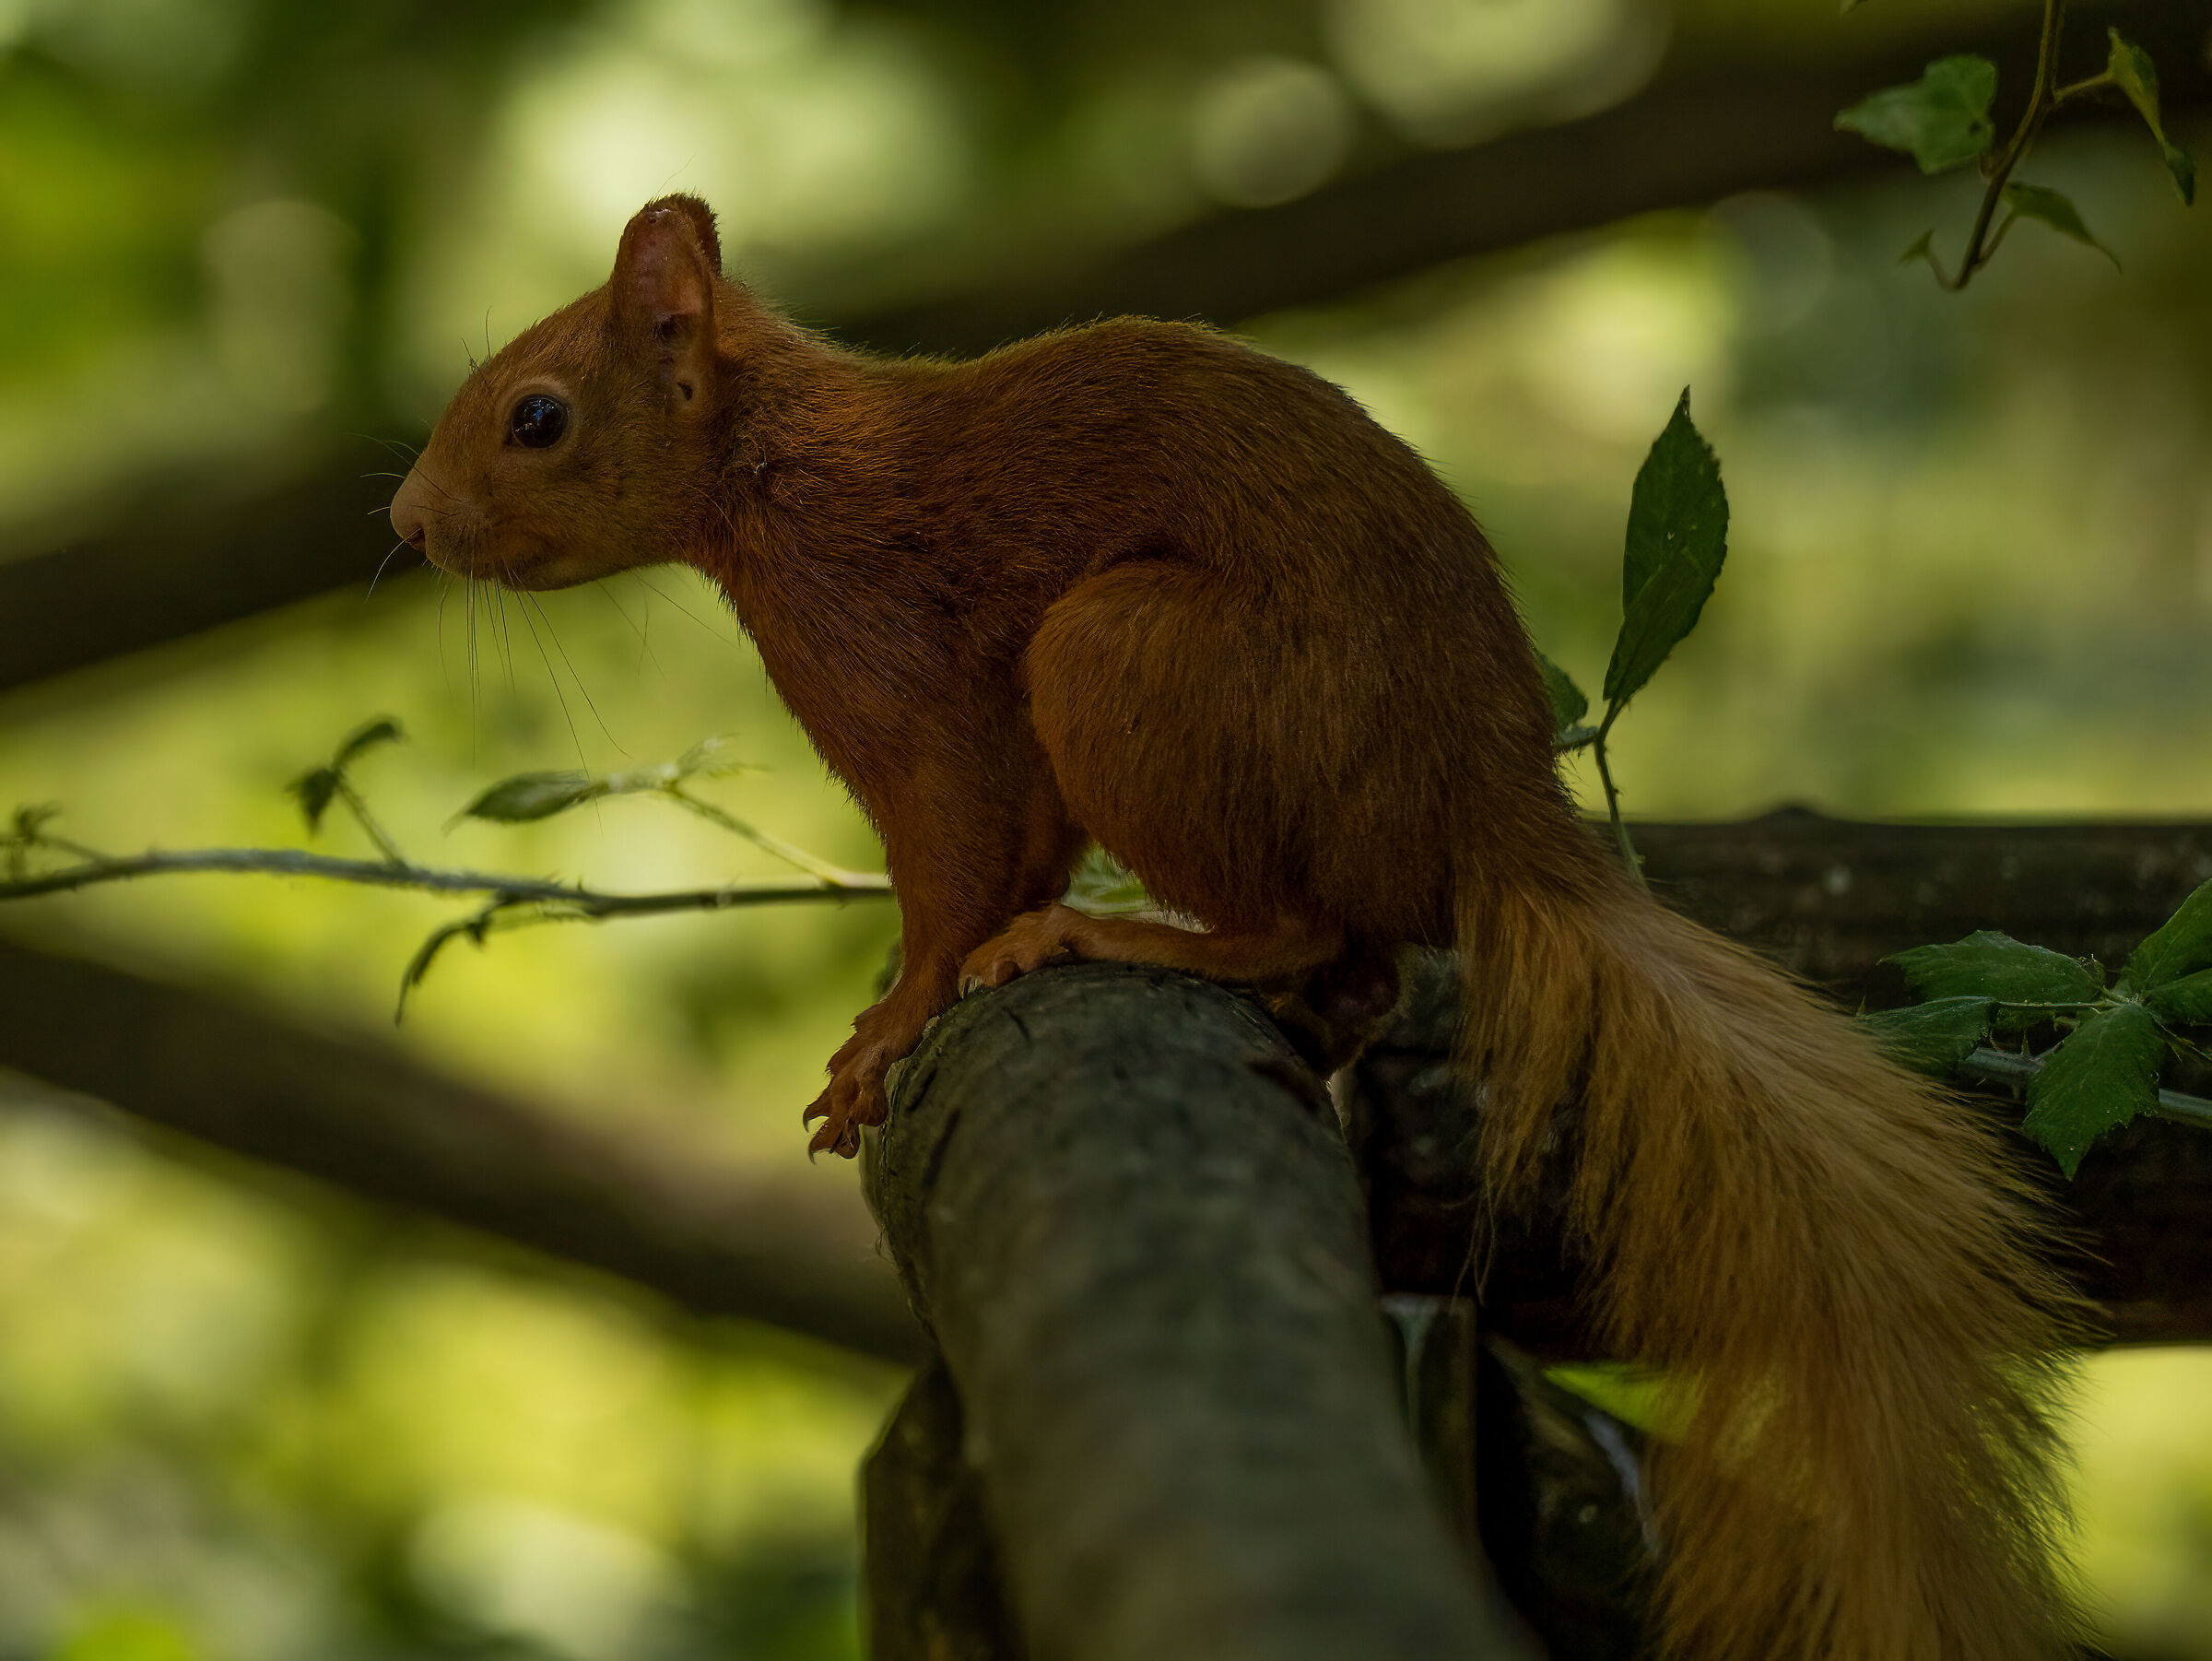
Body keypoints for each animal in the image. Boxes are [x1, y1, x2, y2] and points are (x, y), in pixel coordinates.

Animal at [391, 195, 2080, 1660]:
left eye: (536, 415)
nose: (405, 522)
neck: (775, 464)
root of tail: (1485, 817)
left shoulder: (903, 674)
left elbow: (956, 870)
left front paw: (894, 1026)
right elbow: (1020, 849)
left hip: (1128, 659)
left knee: (1312, 931)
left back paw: (1134, 941)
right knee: (1362, 972)